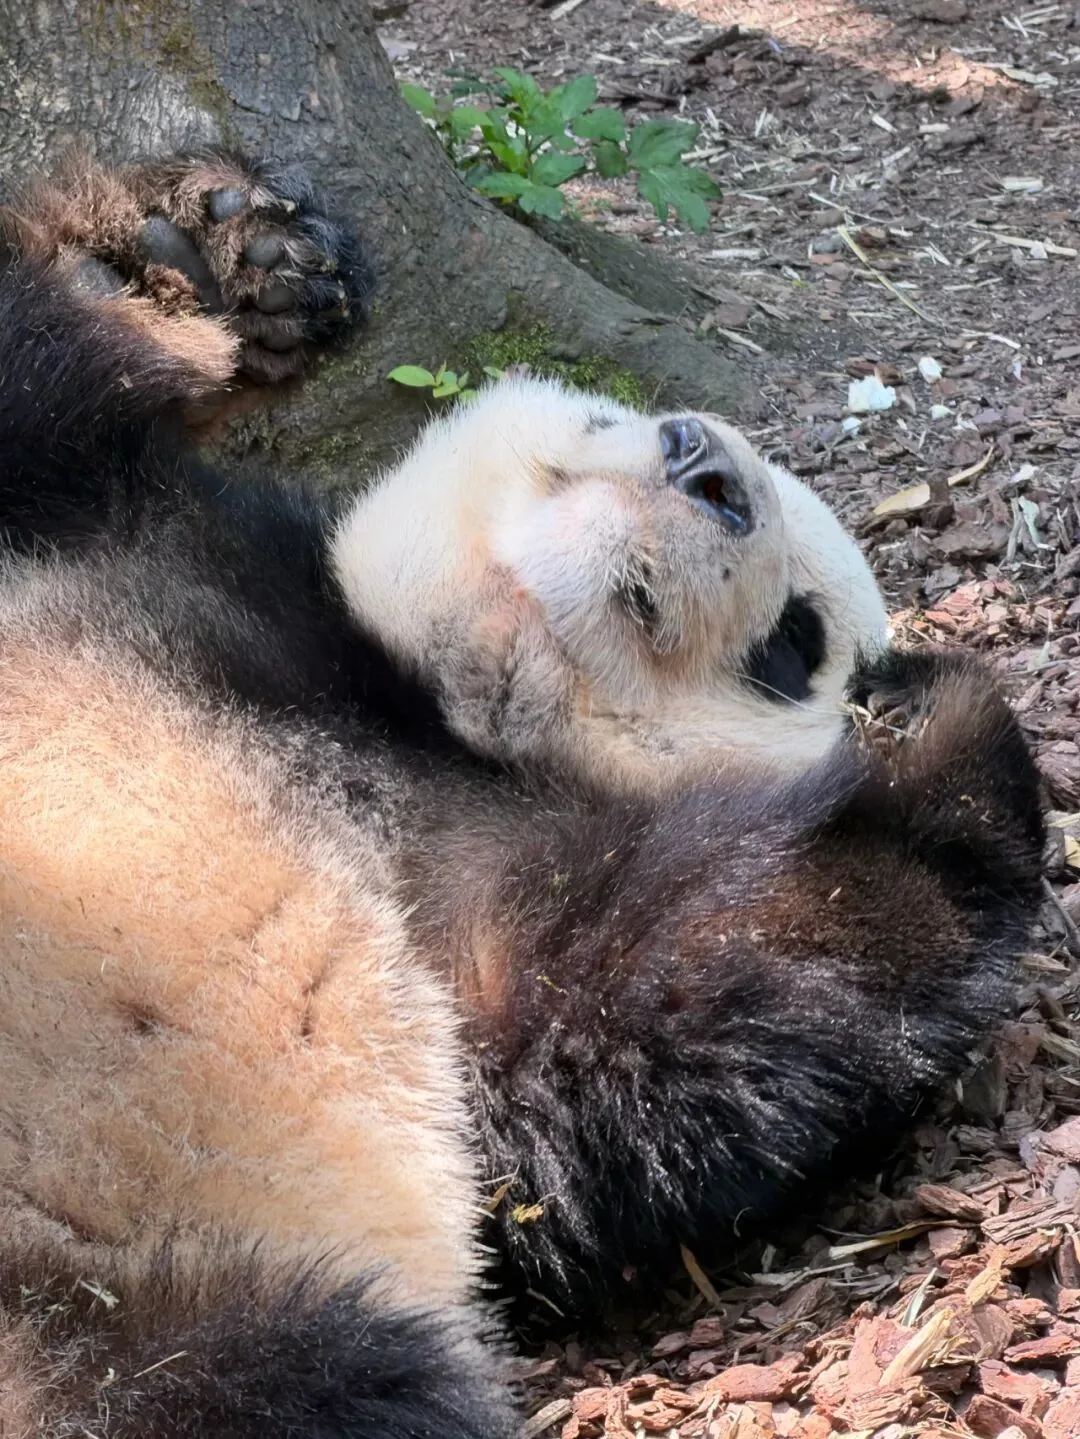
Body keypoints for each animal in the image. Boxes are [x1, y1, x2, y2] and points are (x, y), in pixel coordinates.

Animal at [0, 150, 1044, 1437]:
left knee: (269, 1380)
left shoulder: (462, 910)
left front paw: (924, 732)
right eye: (621, 420)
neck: (409, 692)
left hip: (190, 1286)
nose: (708, 471)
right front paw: (205, 255)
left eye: (797, 638)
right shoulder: (139, 538)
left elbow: (647, 1034)